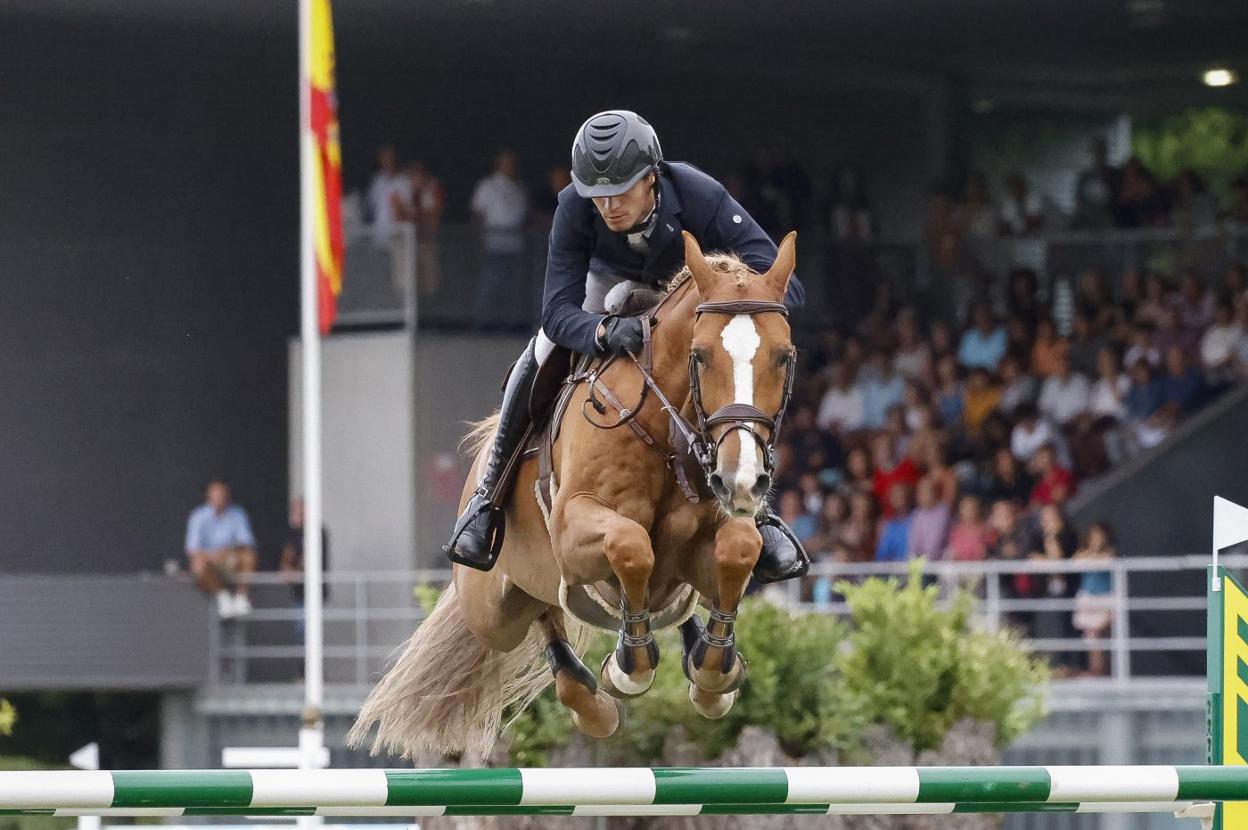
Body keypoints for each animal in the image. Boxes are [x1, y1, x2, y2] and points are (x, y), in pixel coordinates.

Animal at [349, 228, 798, 758]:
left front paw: (712, 671)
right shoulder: (572, 529)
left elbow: (739, 547)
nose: (741, 479)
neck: (666, 431)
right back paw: (590, 699)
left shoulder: (715, 533)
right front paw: (629, 665)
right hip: (492, 611)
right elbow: (631, 545)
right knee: (543, 614)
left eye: (784, 356)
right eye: (700, 355)